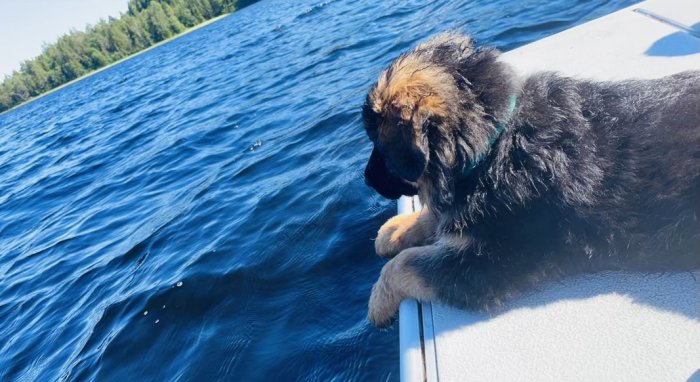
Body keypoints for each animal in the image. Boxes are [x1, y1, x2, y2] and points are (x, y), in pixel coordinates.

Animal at [360, 31, 700, 326]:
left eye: (380, 146)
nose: (366, 180)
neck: (496, 141)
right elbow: (436, 217)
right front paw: (395, 229)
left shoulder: (489, 264)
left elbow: (406, 263)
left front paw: (377, 303)